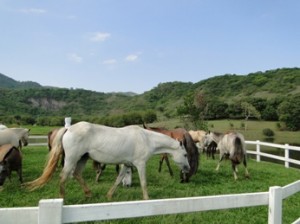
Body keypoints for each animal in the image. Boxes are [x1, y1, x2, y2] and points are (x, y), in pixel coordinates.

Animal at [26, 121, 190, 200]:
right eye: (185, 155)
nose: (187, 169)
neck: (146, 138)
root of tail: (68, 129)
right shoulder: (140, 164)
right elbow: (144, 183)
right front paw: (146, 198)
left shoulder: (127, 164)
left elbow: (118, 180)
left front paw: (109, 195)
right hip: (71, 159)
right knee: (63, 176)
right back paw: (62, 198)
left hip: (82, 159)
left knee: (77, 174)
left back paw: (89, 194)